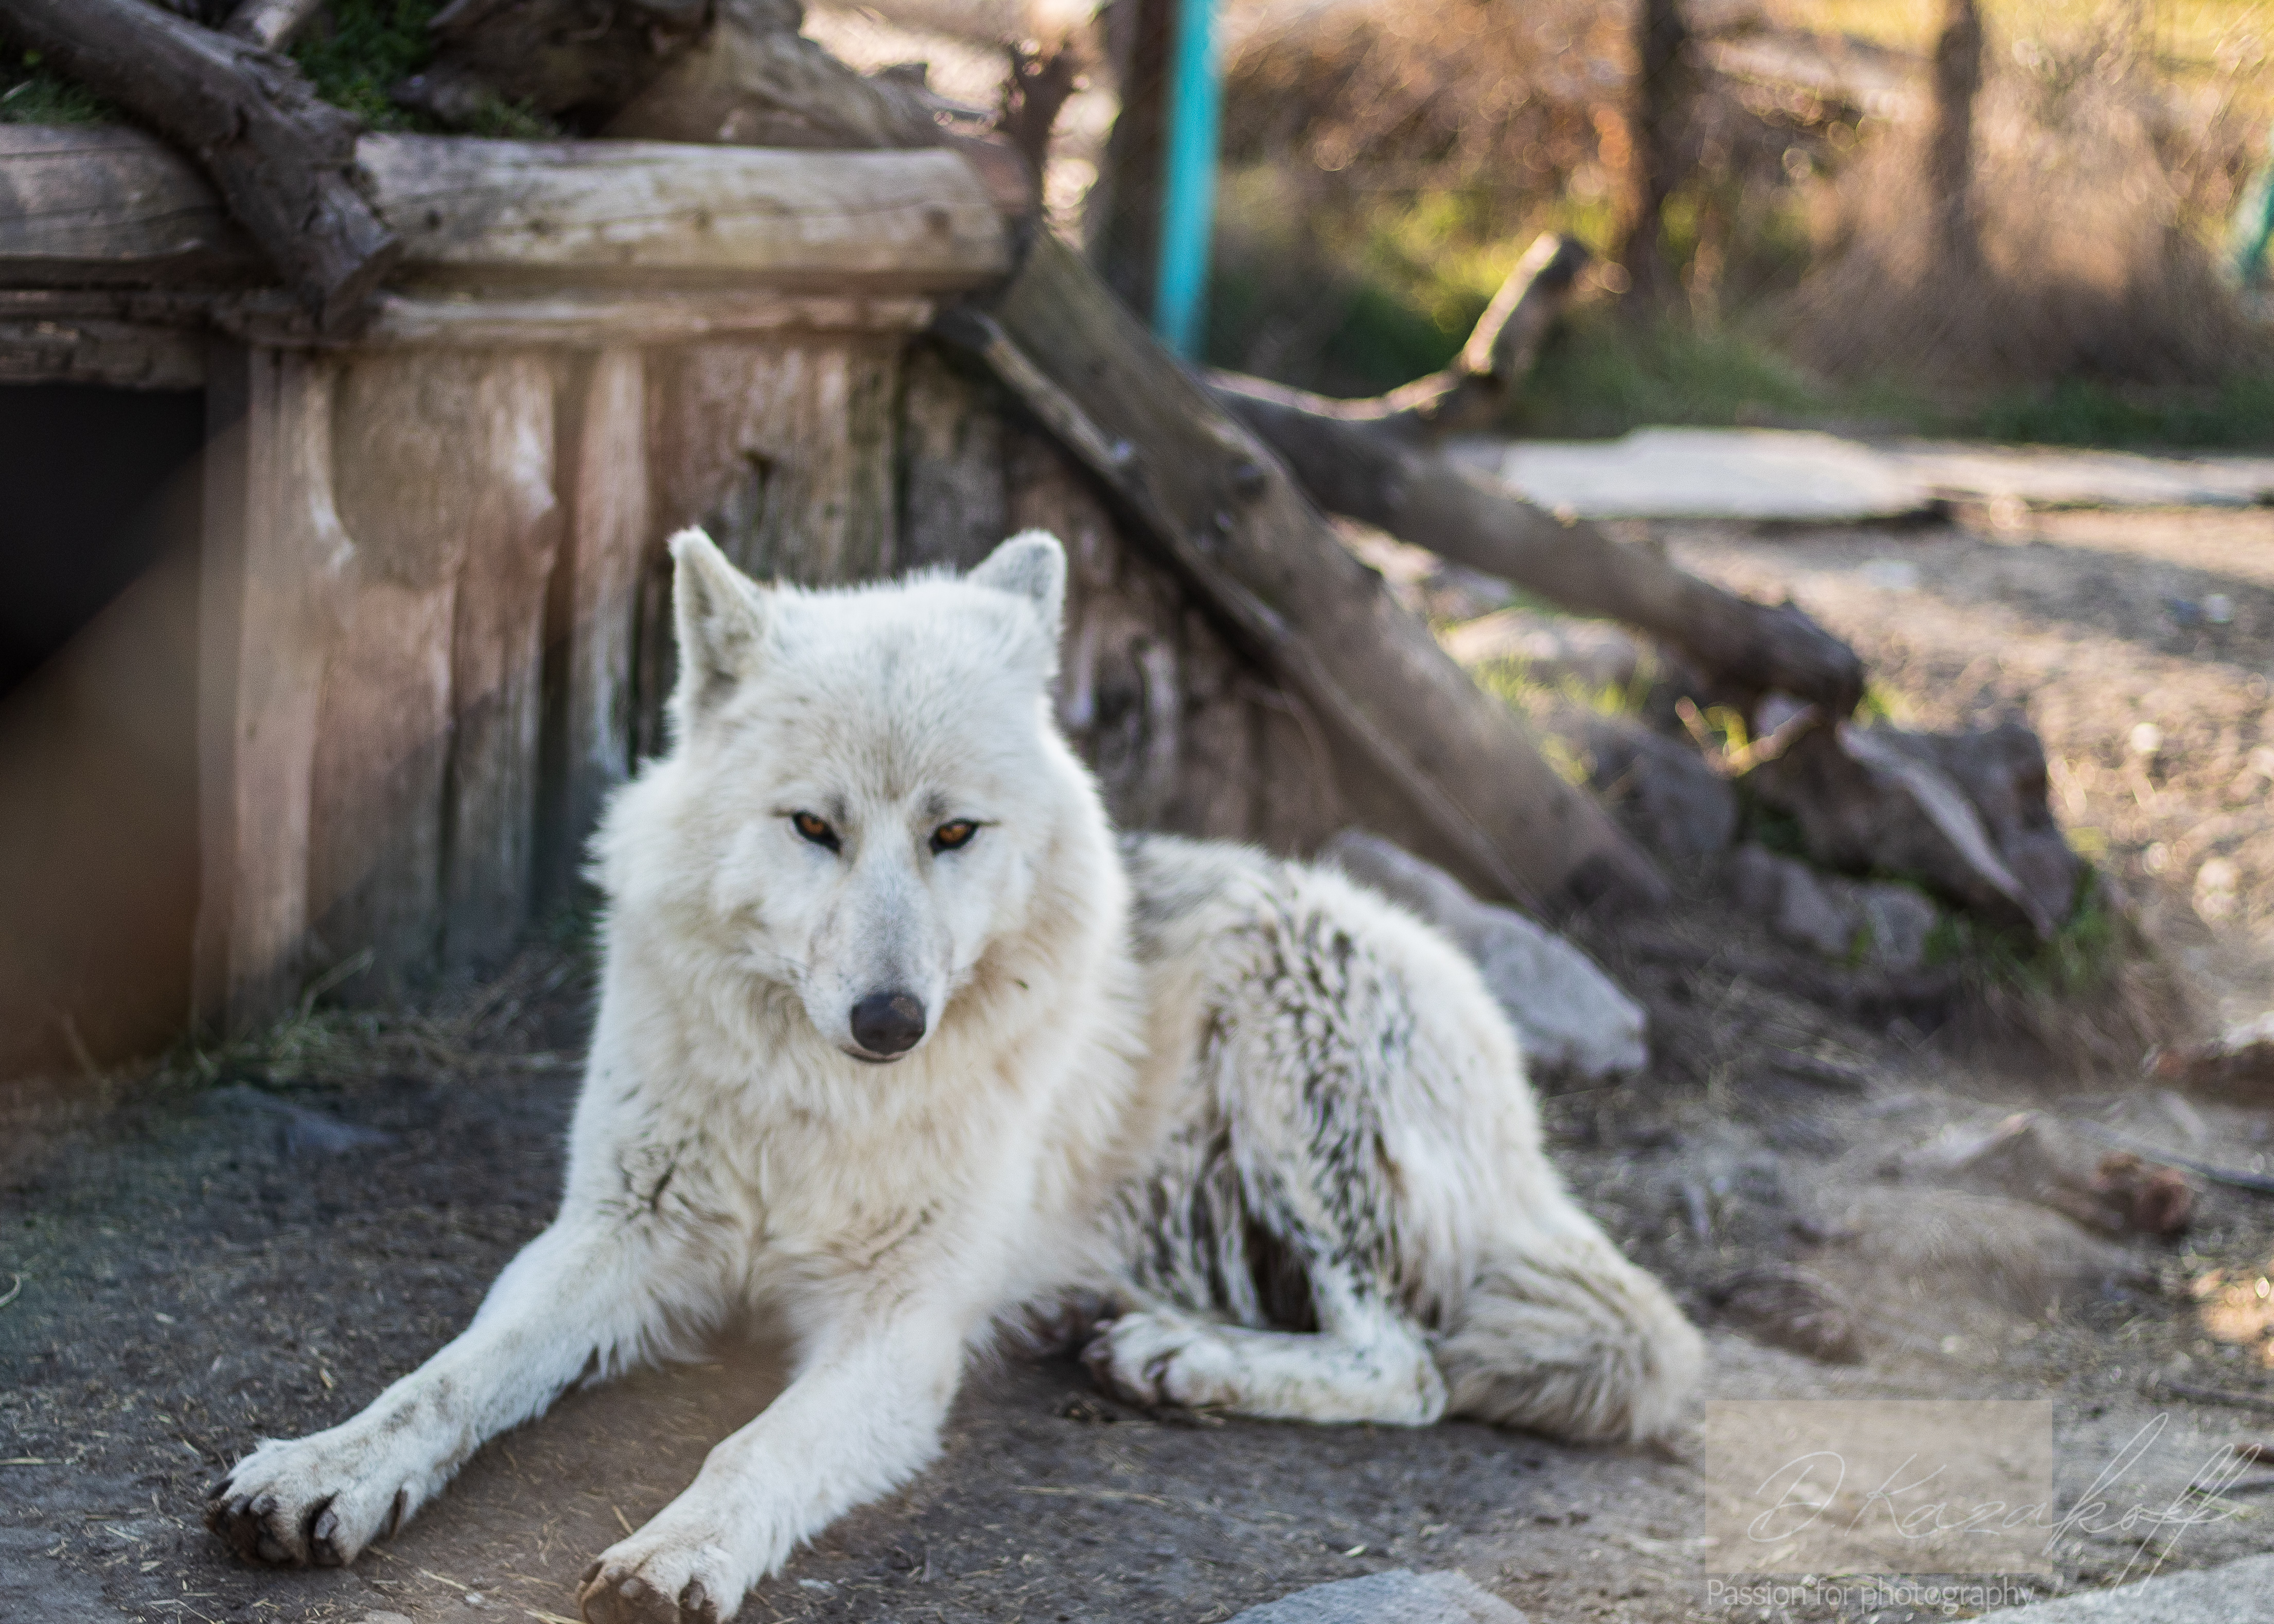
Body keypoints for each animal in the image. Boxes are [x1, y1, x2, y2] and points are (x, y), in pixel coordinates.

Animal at [207, 528, 1702, 1624]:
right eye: (813, 827)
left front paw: (677, 1550)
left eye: (954, 833)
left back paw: (1177, 1354)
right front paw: (325, 1467)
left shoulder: (898, 1327)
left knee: (1410, 1366)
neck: (819, 1103)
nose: (890, 1018)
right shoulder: (613, 1234)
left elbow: (753, 1445)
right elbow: (447, 1378)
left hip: (1292, 1033)